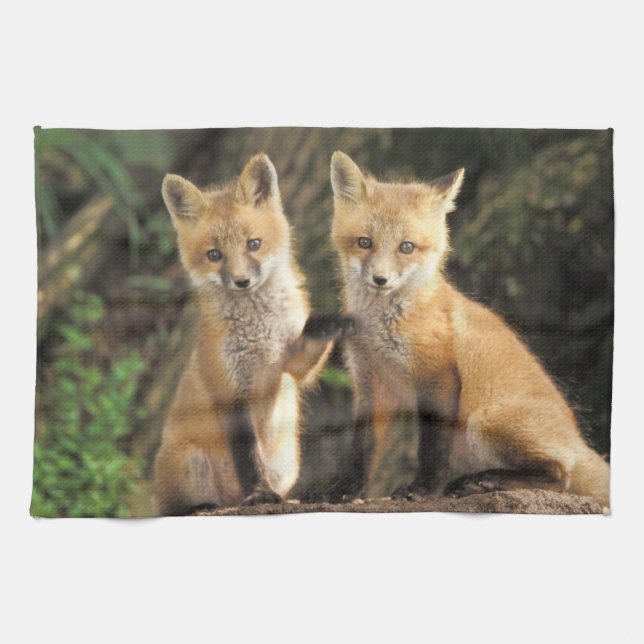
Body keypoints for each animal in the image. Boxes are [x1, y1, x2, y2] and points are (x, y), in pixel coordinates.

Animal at [153, 154, 351, 515]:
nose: (242, 281)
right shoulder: (232, 392)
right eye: (214, 255)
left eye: (254, 244)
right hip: (191, 461)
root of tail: (229, 500)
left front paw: (326, 325)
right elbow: (249, 459)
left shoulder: (290, 365)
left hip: (287, 463)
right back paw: (205, 505)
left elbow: (305, 356)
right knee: (176, 508)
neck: (259, 330)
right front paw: (259, 493)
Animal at [330, 150, 610, 507]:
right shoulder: (371, 383)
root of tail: (578, 441)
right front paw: (345, 491)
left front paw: (423, 490)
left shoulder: (438, 374)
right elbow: (361, 451)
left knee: (561, 475)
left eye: (406, 247)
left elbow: (431, 449)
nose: (381, 279)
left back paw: (483, 482)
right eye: (364, 242)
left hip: (483, 422)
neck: (381, 328)